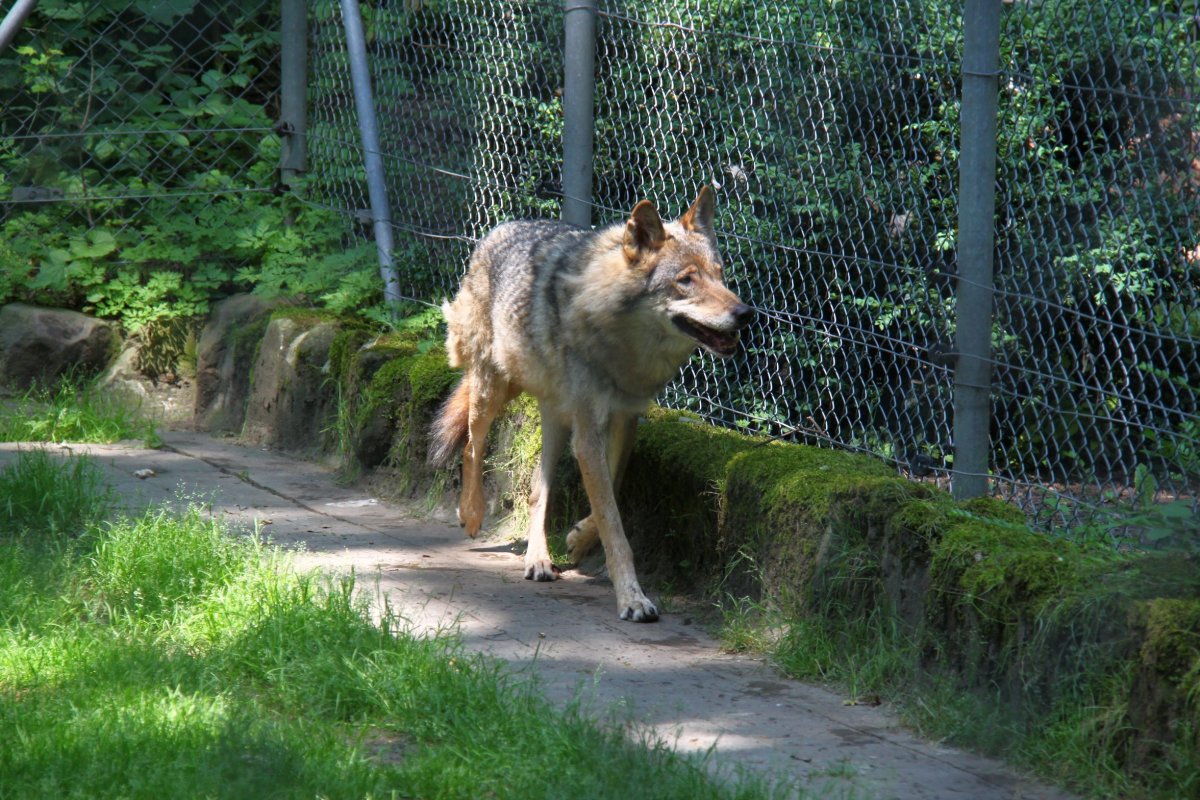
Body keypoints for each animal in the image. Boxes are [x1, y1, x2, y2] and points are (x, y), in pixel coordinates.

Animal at [429, 185, 748, 618]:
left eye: (720, 274)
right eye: (685, 281)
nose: (745, 313)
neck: (620, 343)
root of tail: (501, 229)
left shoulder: (623, 419)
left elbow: (608, 495)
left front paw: (579, 538)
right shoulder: (589, 432)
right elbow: (614, 523)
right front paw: (632, 597)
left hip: (556, 418)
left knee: (536, 490)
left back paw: (538, 560)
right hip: (492, 390)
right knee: (472, 447)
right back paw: (472, 515)